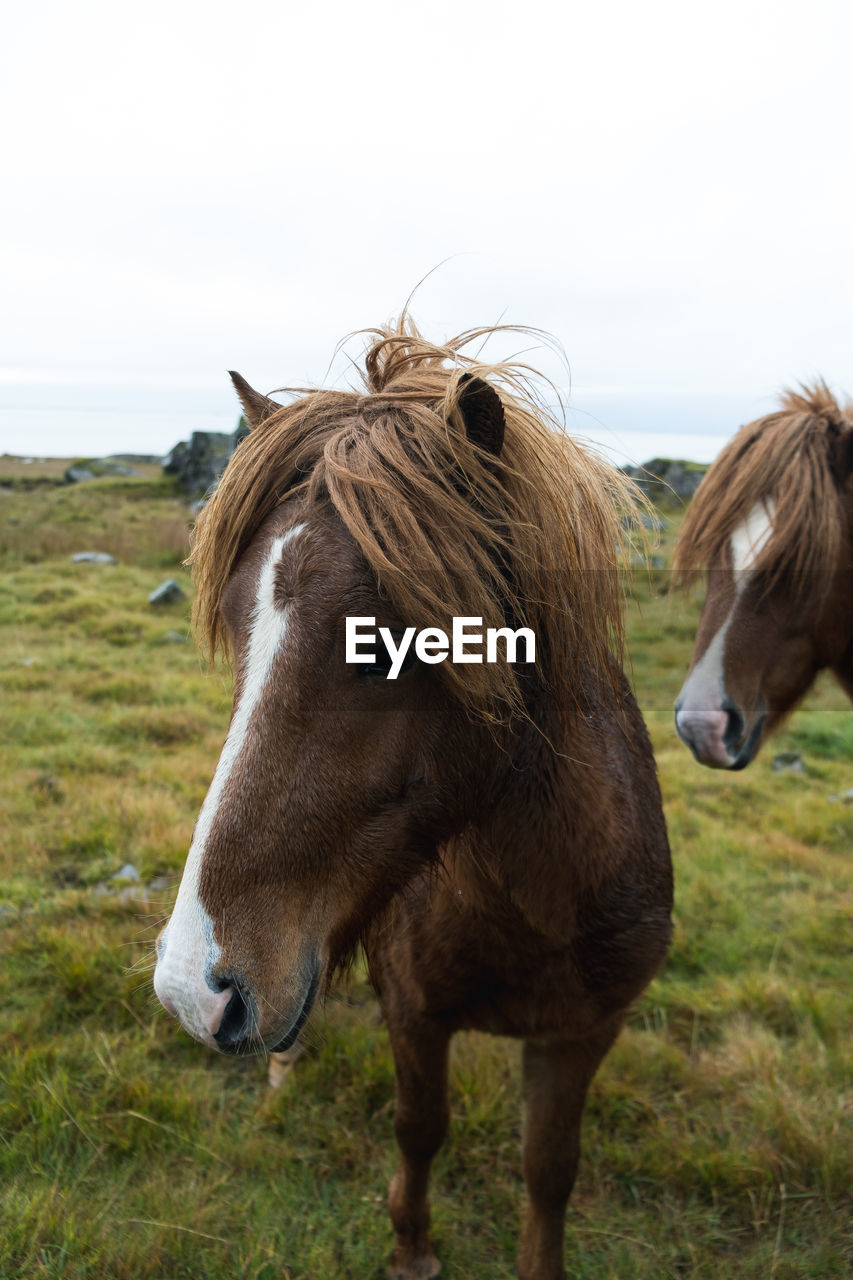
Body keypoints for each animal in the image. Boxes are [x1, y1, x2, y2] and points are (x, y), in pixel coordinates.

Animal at [153, 322, 671, 1280]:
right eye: (236, 626)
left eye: (388, 642)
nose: (189, 987)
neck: (535, 903)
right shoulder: (414, 1013)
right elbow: (419, 1129)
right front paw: (411, 1250)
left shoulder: (583, 1034)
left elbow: (550, 1170)